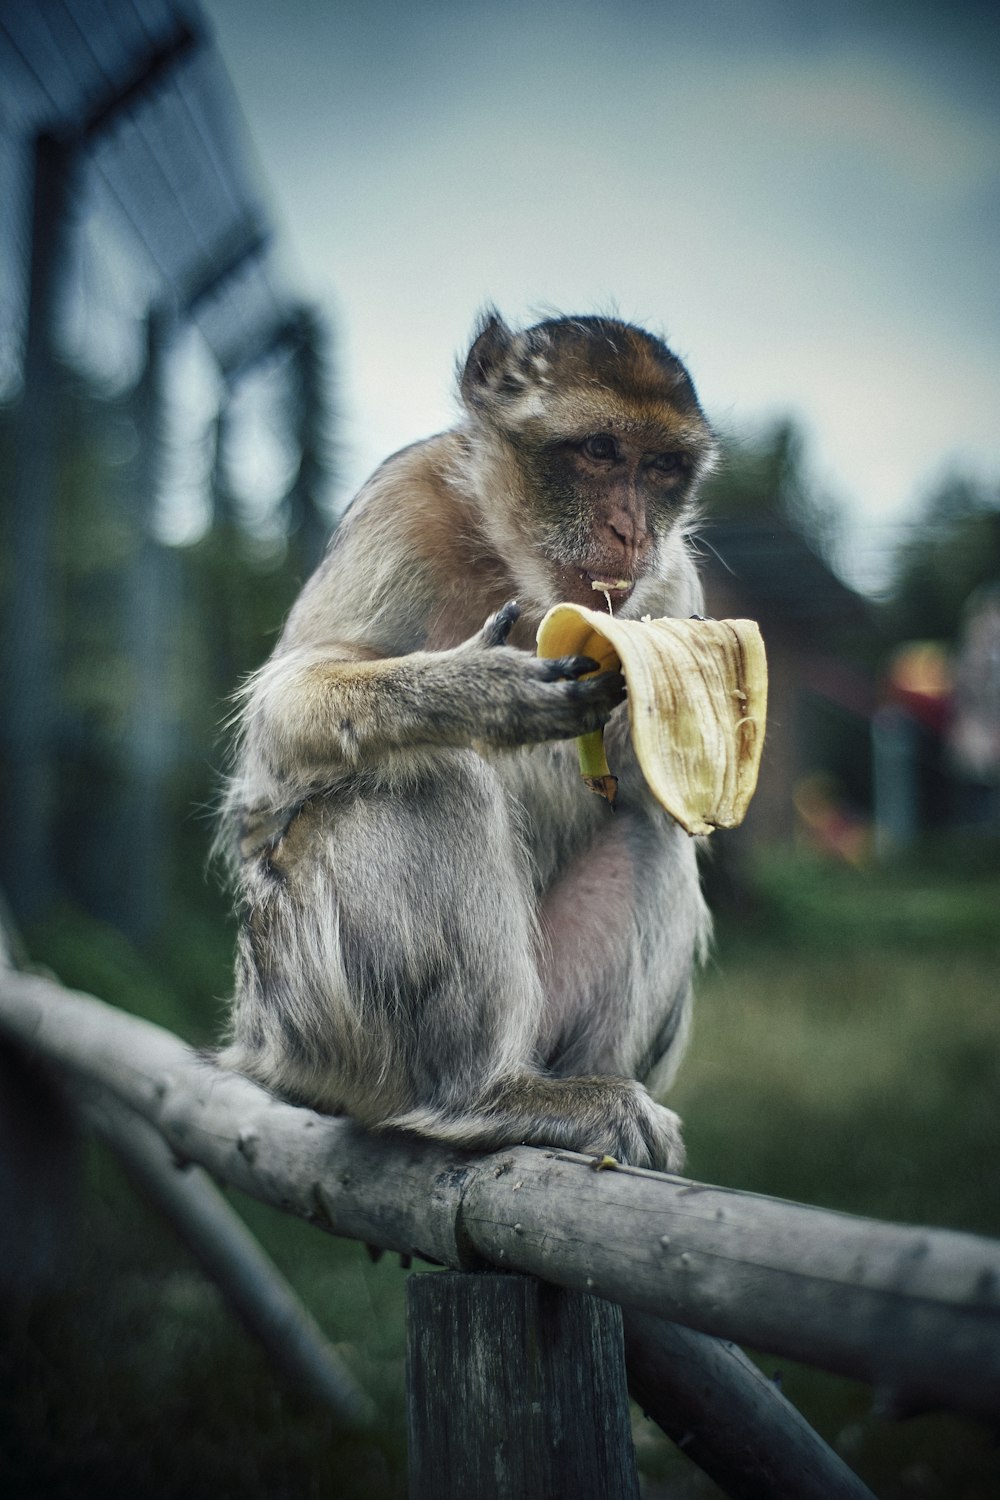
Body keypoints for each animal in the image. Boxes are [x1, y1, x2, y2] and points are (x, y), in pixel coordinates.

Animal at [218, 307, 719, 1170]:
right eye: (599, 452)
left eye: (661, 468)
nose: (629, 531)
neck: (511, 565)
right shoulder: (398, 508)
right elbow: (280, 724)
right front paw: (478, 690)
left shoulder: (669, 582)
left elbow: (661, 793)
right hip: (305, 1005)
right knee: (434, 775)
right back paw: (482, 1095)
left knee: (646, 828)